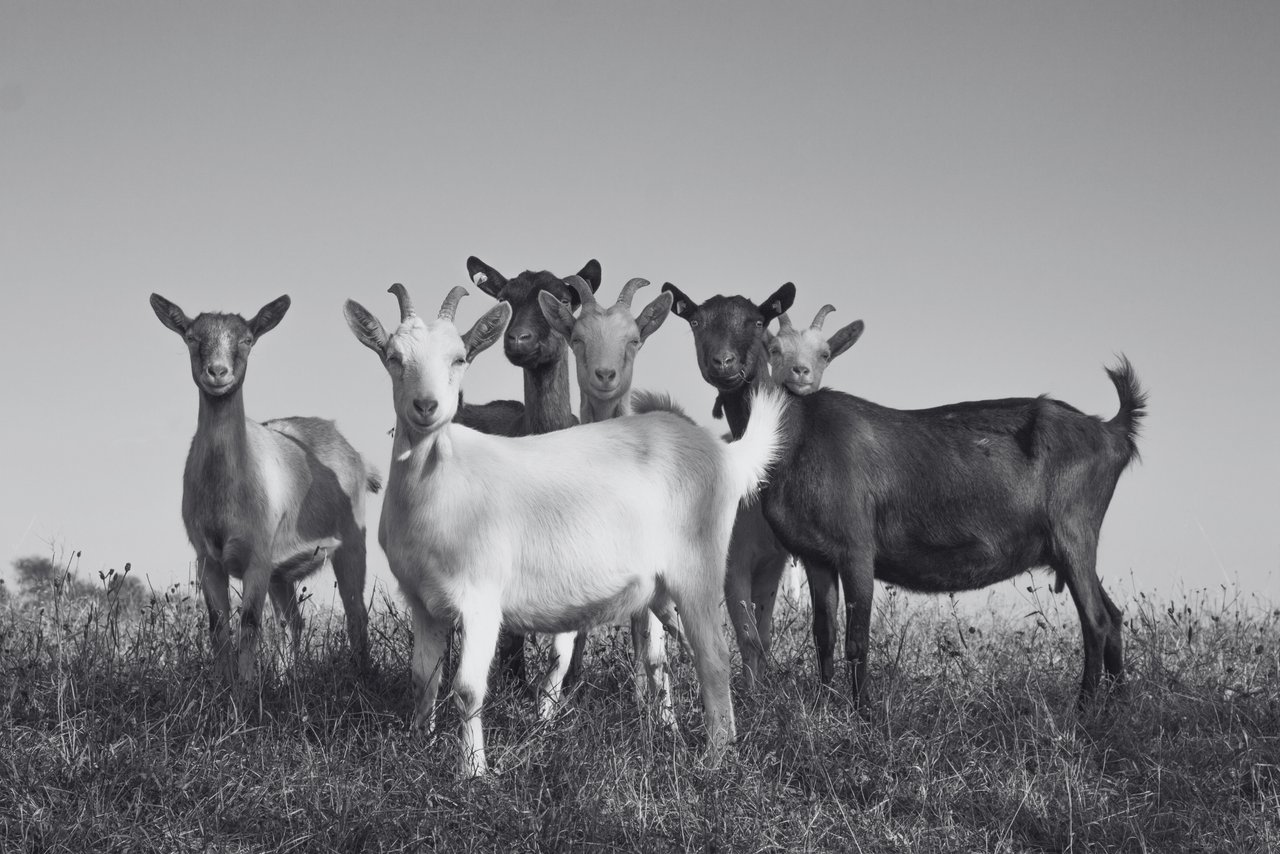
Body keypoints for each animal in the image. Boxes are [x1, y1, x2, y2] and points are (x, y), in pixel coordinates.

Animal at [149, 294, 376, 681]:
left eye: (247, 340)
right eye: (192, 337)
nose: (217, 372)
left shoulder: (257, 555)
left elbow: (250, 623)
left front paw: (244, 690)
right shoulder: (208, 558)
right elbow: (218, 626)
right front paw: (221, 687)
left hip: (350, 543)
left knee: (355, 614)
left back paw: (361, 677)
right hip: (281, 571)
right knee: (292, 622)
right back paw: (285, 680)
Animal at [660, 280, 798, 686]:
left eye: (758, 321)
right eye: (695, 321)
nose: (724, 362)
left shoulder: (771, 564)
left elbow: (763, 636)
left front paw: (763, 688)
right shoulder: (732, 561)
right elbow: (748, 636)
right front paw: (753, 694)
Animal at [757, 358, 1152, 706]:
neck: (798, 433)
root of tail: (1112, 431)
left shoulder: (856, 550)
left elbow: (856, 640)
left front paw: (862, 714)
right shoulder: (816, 556)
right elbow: (824, 634)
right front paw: (822, 707)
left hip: (1074, 535)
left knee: (1097, 621)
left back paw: (1084, 709)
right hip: (1068, 550)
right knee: (1114, 616)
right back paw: (1118, 706)